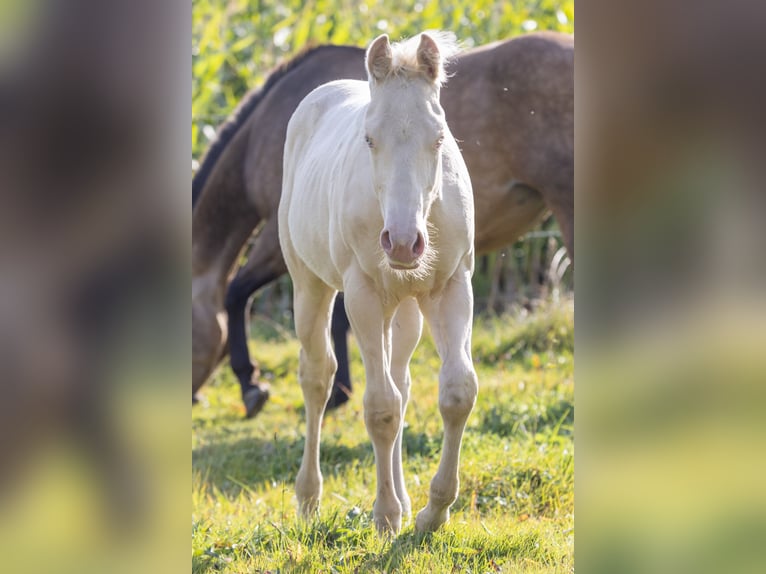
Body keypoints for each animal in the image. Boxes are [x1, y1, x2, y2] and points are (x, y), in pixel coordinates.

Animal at [278, 31, 480, 536]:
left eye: (439, 138)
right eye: (369, 139)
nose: (404, 243)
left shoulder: (453, 287)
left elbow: (456, 392)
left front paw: (432, 512)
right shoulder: (364, 296)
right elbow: (380, 408)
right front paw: (386, 516)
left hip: (405, 308)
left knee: (401, 381)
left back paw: (407, 500)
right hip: (309, 285)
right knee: (317, 376)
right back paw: (309, 498)